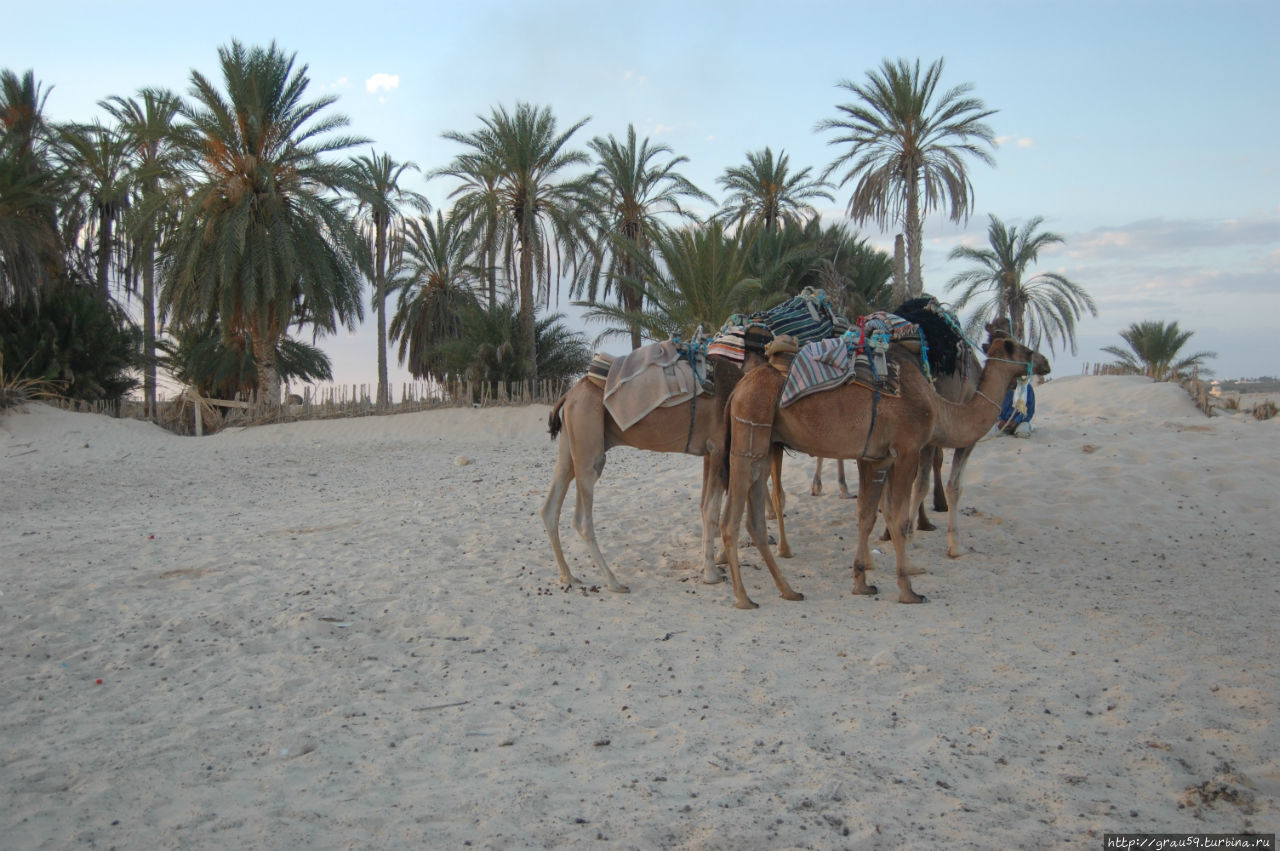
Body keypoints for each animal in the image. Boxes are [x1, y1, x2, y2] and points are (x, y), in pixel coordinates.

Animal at [716, 332, 1044, 604]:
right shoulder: (907, 449)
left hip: (764, 445)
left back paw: (789, 590)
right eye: (1025, 350)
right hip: (750, 429)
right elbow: (898, 518)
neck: (938, 408)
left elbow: (867, 515)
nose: (1045, 362)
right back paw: (744, 598)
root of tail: (738, 389)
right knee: (731, 519)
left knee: (755, 520)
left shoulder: (876, 457)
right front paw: (909, 590)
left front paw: (862, 581)